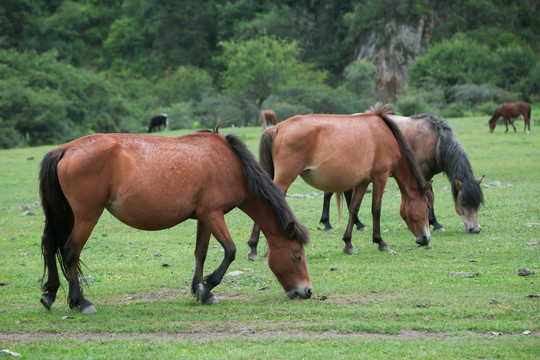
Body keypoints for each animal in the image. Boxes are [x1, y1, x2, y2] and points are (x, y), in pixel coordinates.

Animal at [39, 125, 312, 314]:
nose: (307, 291)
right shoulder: (213, 214)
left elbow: (201, 252)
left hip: (64, 215)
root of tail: (64, 149)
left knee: (50, 246)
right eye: (297, 256)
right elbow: (230, 251)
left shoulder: (204, 217)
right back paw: (81, 301)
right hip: (86, 216)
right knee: (70, 251)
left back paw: (50, 294)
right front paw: (207, 286)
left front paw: (201, 290)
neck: (231, 164)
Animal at [247, 104, 432, 258]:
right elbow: (376, 209)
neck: (385, 134)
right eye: (426, 207)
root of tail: (277, 128)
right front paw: (381, 242)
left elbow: (354, 209)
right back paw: (253, 248)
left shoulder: (363, 182)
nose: (425, 238)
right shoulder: (381, 177)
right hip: (284, 178)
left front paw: (348, 243)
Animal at [318, 114, 488, 235]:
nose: (475, 229)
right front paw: (435, 223)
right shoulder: (423, 174)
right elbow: (430, 197)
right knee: (329, 193)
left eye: (478, 204)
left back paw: (358, 224)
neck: (435, 140)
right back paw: (327, 224)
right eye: (463, 203)